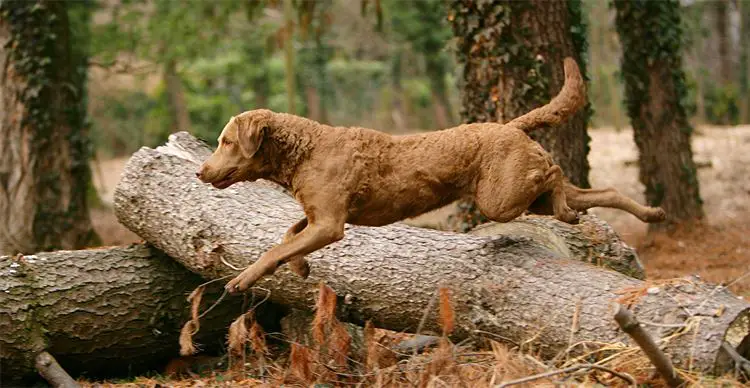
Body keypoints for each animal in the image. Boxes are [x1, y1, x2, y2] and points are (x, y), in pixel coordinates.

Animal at [197, 57, 668, 292]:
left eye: (225, 140)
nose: (201, 171)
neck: (304, 149)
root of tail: (510, 125)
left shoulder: (330, 223)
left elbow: (273, 250)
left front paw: (241, 279)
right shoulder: (320, 217)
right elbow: (287, 236)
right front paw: (300, 268)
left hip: (500, 198)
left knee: (554, 174)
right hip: (522, 194)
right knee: (595, 191)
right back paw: (649, 214)